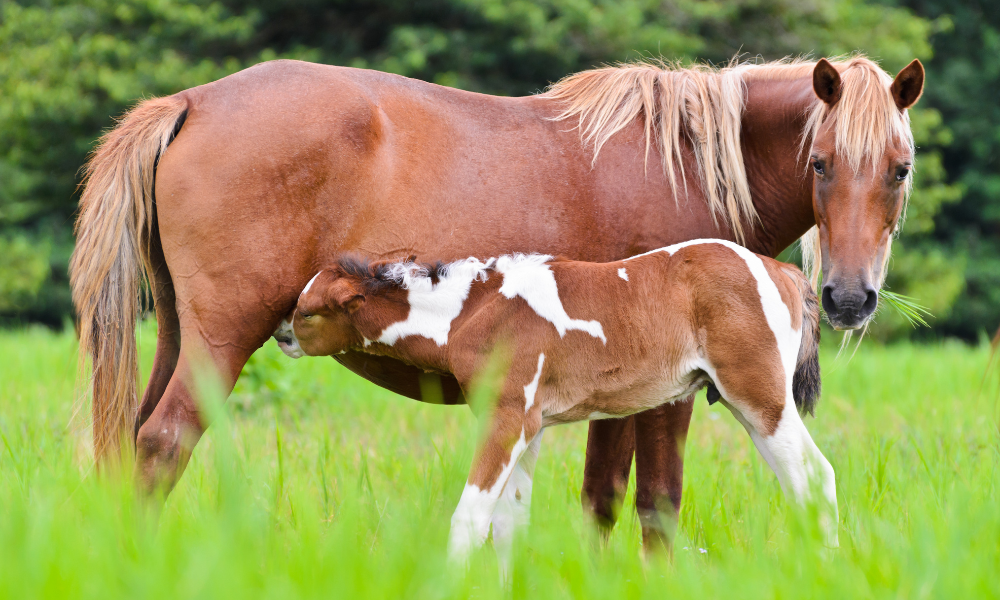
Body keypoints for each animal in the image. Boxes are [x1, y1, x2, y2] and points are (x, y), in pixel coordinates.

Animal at [277, 241, 832, 567]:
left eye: (307, 313)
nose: (282, 335)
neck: (472, 312)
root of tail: (781, 270)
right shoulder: (532, 426)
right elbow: (509, 524)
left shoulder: (508, 419)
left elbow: (470, 518)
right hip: (750, 406)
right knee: (802, 481)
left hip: (760, 397)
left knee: (815, 477)